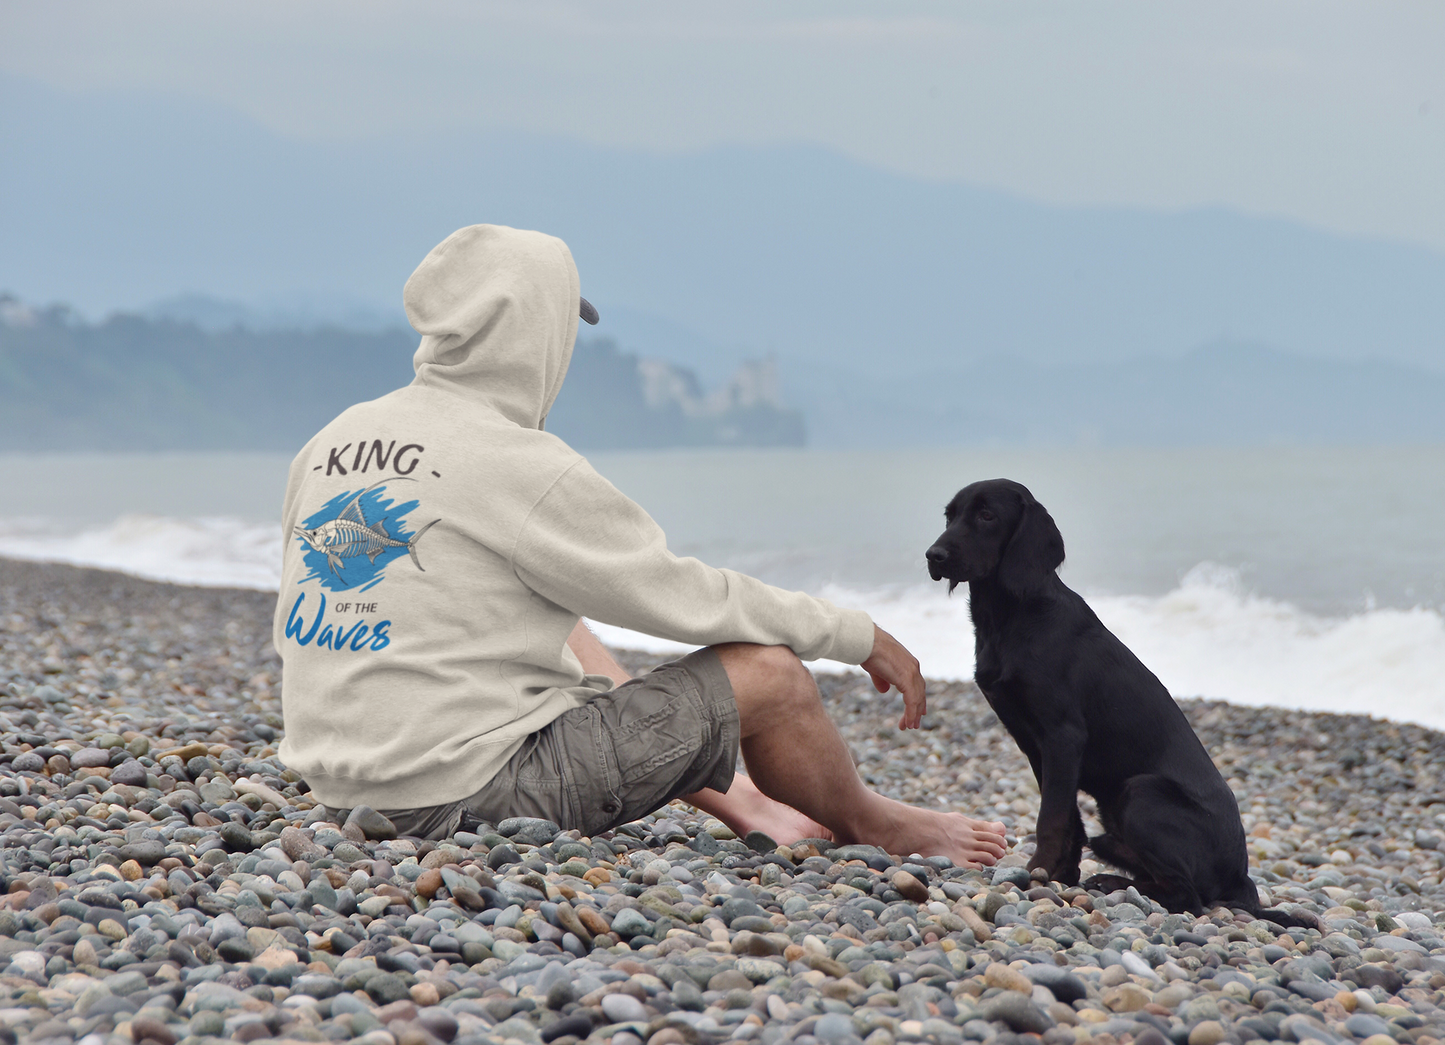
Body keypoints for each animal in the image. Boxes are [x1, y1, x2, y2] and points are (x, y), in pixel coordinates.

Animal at [924, 476, 1312, 925]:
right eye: (949, 516)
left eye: (987, 515)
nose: (933, 555)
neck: (1010, 617)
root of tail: (1241, 876)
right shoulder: (1037, 744)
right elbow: (1067, 818)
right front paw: (1063, 874)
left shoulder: (1063, 735)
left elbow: (1051, 817)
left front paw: (1040, 871)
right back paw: (1111, 882)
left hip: (1139, 791)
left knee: (1189, 896)